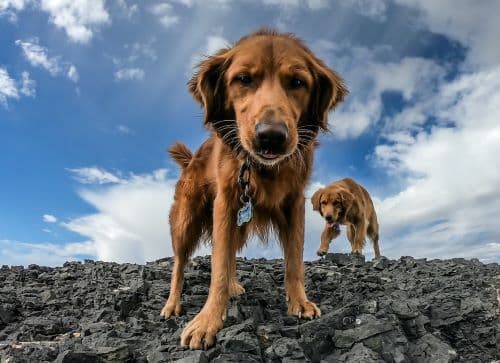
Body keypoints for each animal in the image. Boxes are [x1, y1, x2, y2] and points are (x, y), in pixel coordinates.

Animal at [161, 29, 348, 352]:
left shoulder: (294, 204)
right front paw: (208, 320)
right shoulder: (225, 203)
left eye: (297, 82)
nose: (271, 137)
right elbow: (218, 267)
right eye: (243, 79)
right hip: (186, 220)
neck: (262, 169)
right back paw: (173, 304)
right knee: (180, 264)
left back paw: (234, 286)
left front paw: (299, 302)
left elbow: (294, 261)